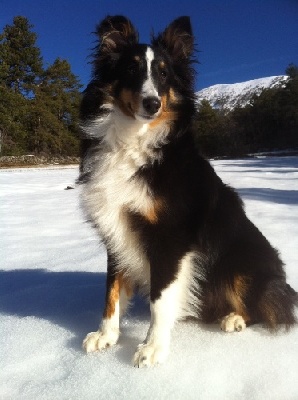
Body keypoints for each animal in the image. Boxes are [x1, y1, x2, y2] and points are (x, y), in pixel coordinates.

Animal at [78, 15, 296, 368]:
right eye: (131, 68)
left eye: (164, 73)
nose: (152, 103)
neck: (134, 138)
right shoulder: (116, 228)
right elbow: (112, 289)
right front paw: (106, 335)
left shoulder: (171, 238)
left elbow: (160, 298)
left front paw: (152, 348)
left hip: (242, 262)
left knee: (266, 307)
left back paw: (234, 318)